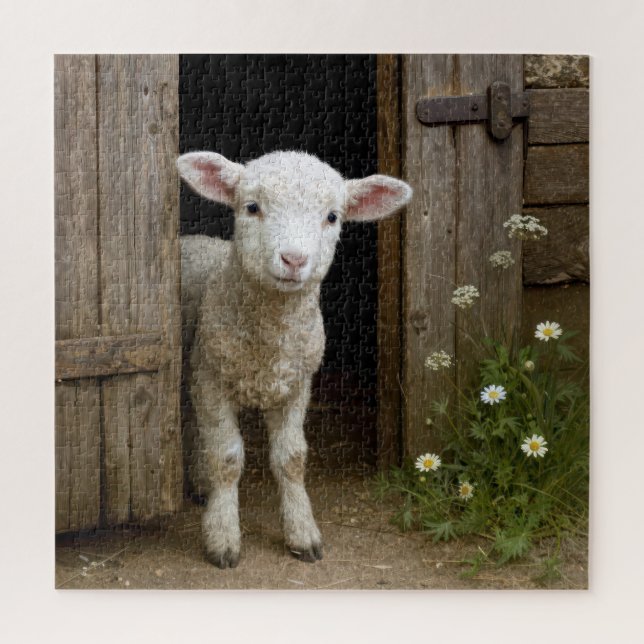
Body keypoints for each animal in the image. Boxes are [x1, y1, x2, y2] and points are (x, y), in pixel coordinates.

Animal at [177, 150, 412, 568]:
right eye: (252, 207)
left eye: (332, 216)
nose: (294, 259)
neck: (270, 343)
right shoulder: (212, 379)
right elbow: (226, 458)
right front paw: (223, 537)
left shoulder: (297, 386)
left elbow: (292, 459)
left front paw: (303, 532)